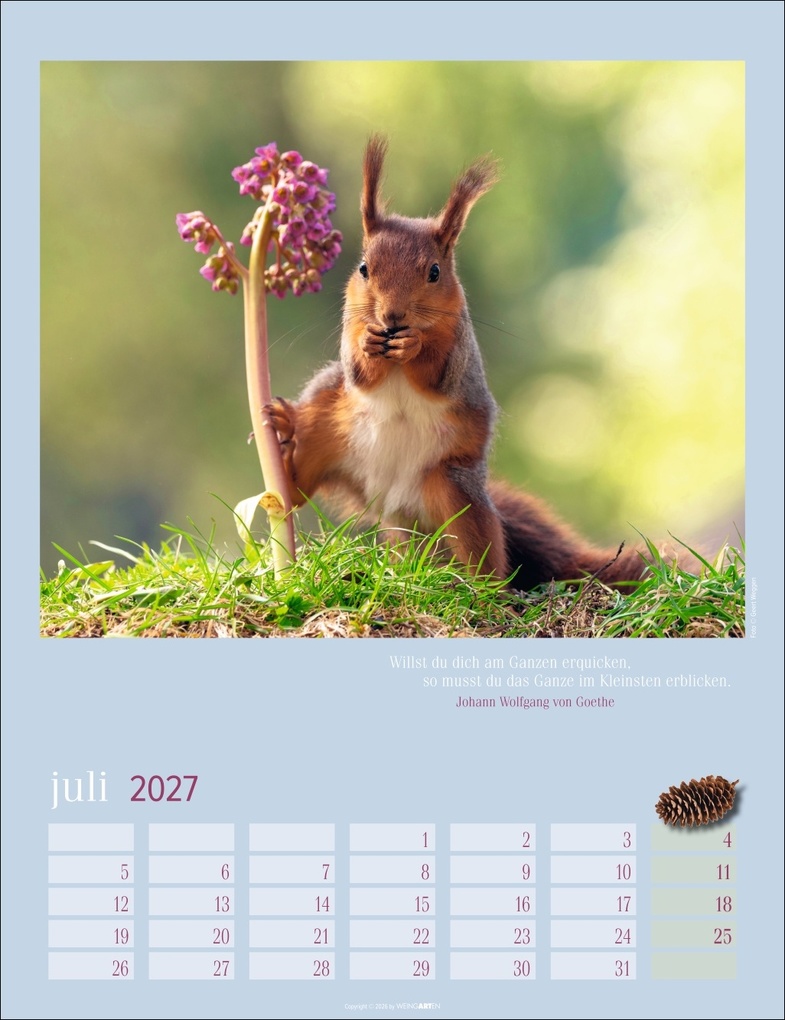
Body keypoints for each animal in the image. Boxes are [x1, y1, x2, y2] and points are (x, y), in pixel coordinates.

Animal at [265, 136, 660, 589]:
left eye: (435, 272)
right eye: (364, 269)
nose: (392, 317)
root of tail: (392, 499)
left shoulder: (460, 347)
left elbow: (438, 375)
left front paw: (414, 345)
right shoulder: (351, 330)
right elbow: (358, 372)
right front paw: (369, 343)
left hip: (454, 489)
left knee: (484, 550)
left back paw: (479, 587)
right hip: (325, 431)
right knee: (299, 488)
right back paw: (283, 438)